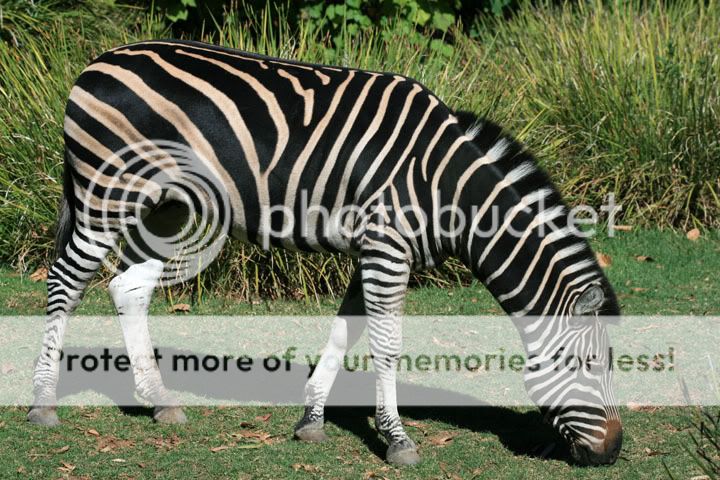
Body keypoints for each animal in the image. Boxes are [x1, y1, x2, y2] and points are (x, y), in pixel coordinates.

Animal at [28, 39, 620, 466]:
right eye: (591, 364)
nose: (613, 453)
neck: (445, 186)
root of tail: (98, 61)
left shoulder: (375, 250)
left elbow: (345, 331)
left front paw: (311, 418)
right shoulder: (387, 249)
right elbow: (386, 345)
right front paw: (398, 440)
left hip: (164, 207)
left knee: (127, 287)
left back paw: (159, 401)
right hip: (108, 193)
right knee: (65, 281)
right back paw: (42, 403)